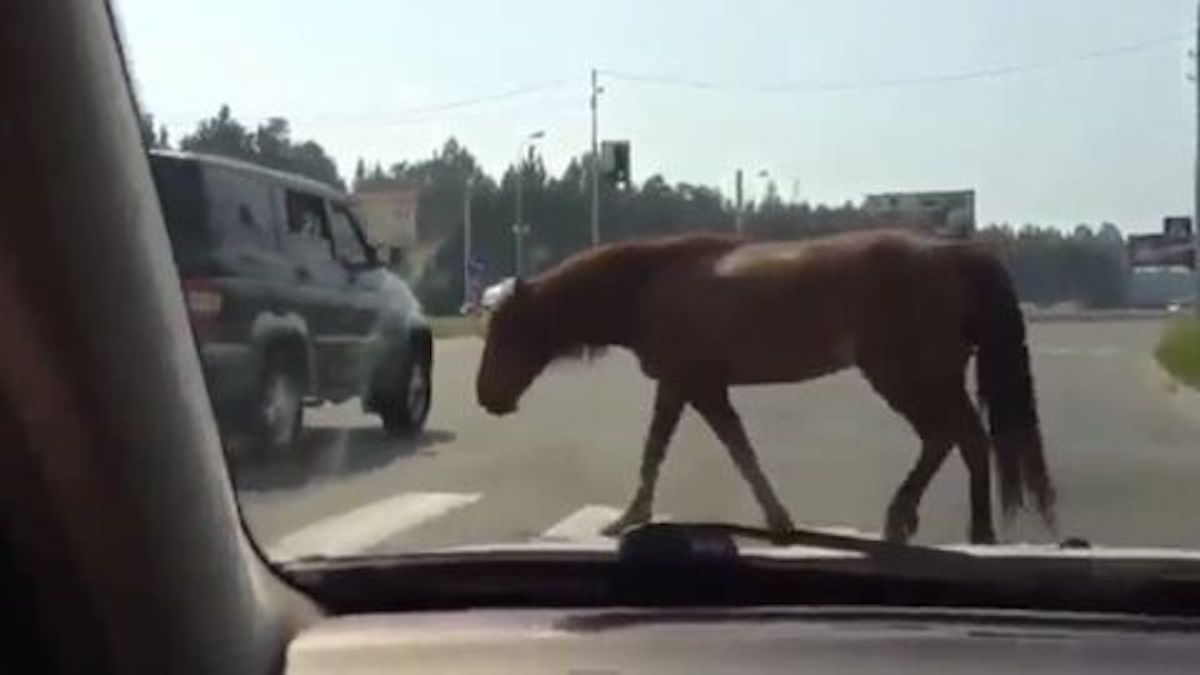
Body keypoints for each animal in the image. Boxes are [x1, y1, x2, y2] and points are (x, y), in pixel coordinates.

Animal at [472, 228, 1056, 542]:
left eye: (507, 332)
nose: (486, 397)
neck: (648, 285)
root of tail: (953, 252)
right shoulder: (696, 386)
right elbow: (728, 447)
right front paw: (777, 518)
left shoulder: (690, 383)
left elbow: (670, 448)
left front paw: (626, 518)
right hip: (929, 376)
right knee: (960, 438)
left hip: (906, 374)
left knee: (953, 437)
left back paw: (945, 526)